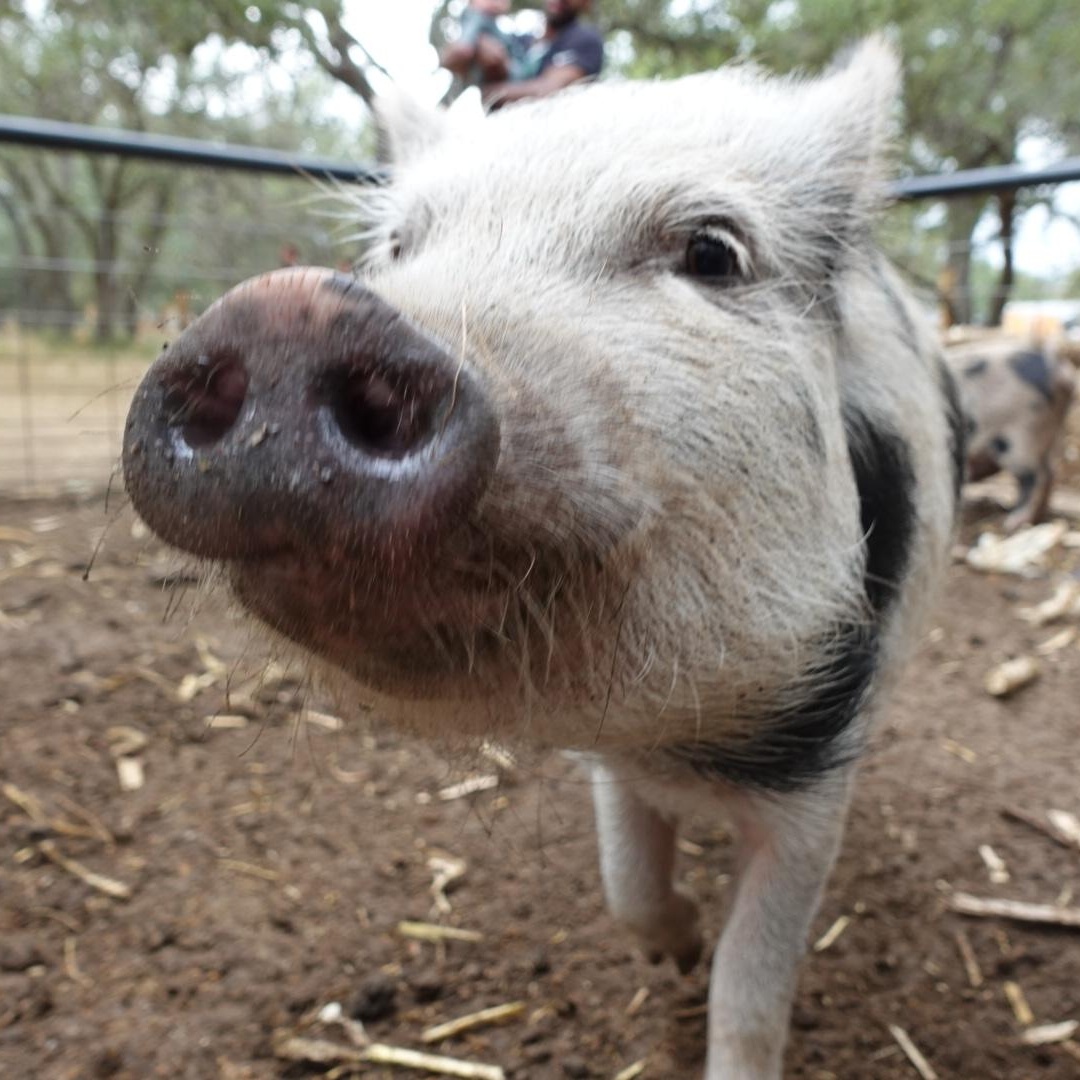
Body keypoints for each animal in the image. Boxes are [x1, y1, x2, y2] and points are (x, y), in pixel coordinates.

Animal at [122, 39, 962, 1079]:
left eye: (711, 253)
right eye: (397, 247)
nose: (293, 313)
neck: (682, 740)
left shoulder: (817, 774)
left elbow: (753, 981)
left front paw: (710, 976)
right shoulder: (611, 761)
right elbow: (624, 878)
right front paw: (673, 950)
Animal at [945, 335, 1074, 531]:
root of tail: (1057, 368)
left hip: (1022, 436)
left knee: (1038, 477)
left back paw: (1013, 523)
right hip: (1046, 435)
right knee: (1049, 474)